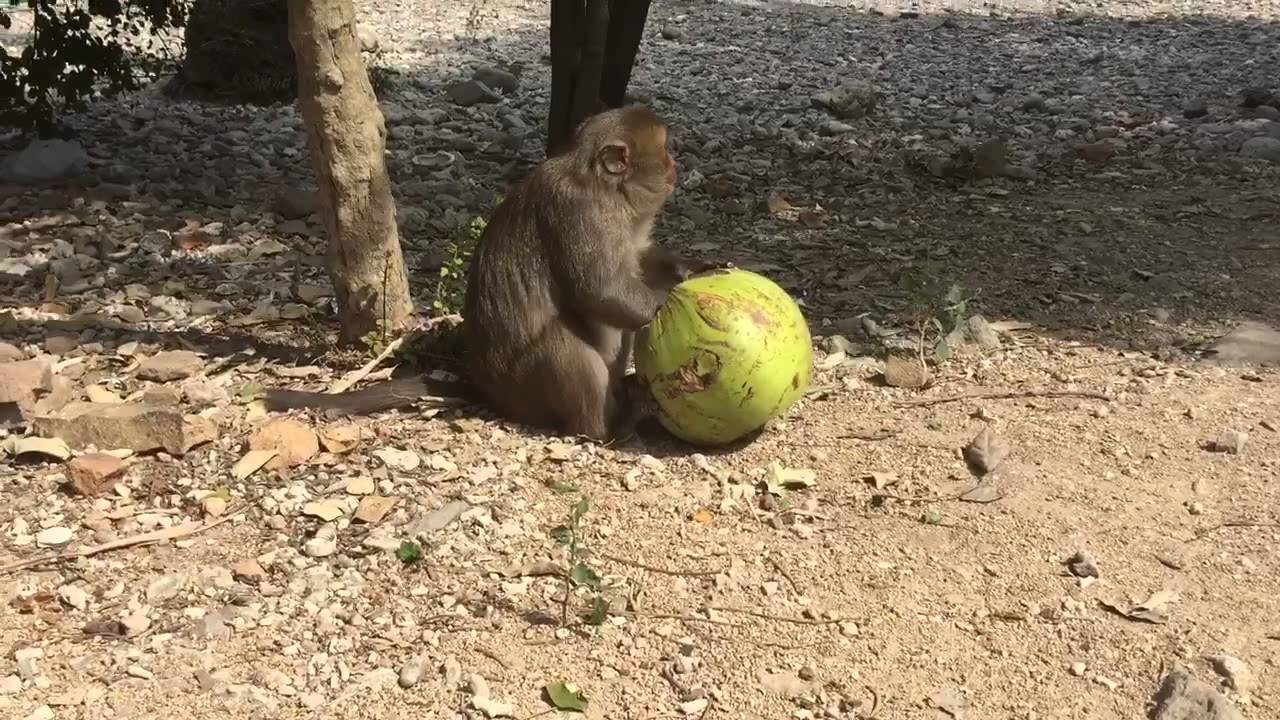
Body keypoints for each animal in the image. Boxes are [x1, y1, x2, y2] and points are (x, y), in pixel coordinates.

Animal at [263, 105, 703, 442]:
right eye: (664, 153)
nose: (674, 165)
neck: (610, 192)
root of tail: (488, 390)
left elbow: (636, 263)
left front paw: (684, 270)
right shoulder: (581, 210)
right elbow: (599, 290)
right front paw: (672, 301)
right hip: (524, 387)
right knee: (565, 345)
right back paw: (609, 428)